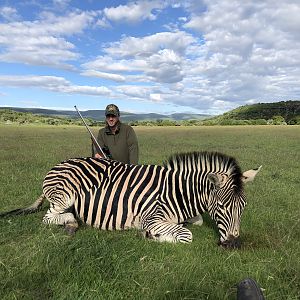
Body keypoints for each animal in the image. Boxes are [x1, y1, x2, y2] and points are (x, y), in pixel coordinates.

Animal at [0, 152, 262, 248]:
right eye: (222, 207)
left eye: (243, 207)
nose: (234, 245)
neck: (179, 193)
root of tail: (59, 163)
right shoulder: (152, 217)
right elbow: (186, 235)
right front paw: (149, 235)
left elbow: (194, 223)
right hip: (64, 196)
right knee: (49, 218)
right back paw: (73, 223)